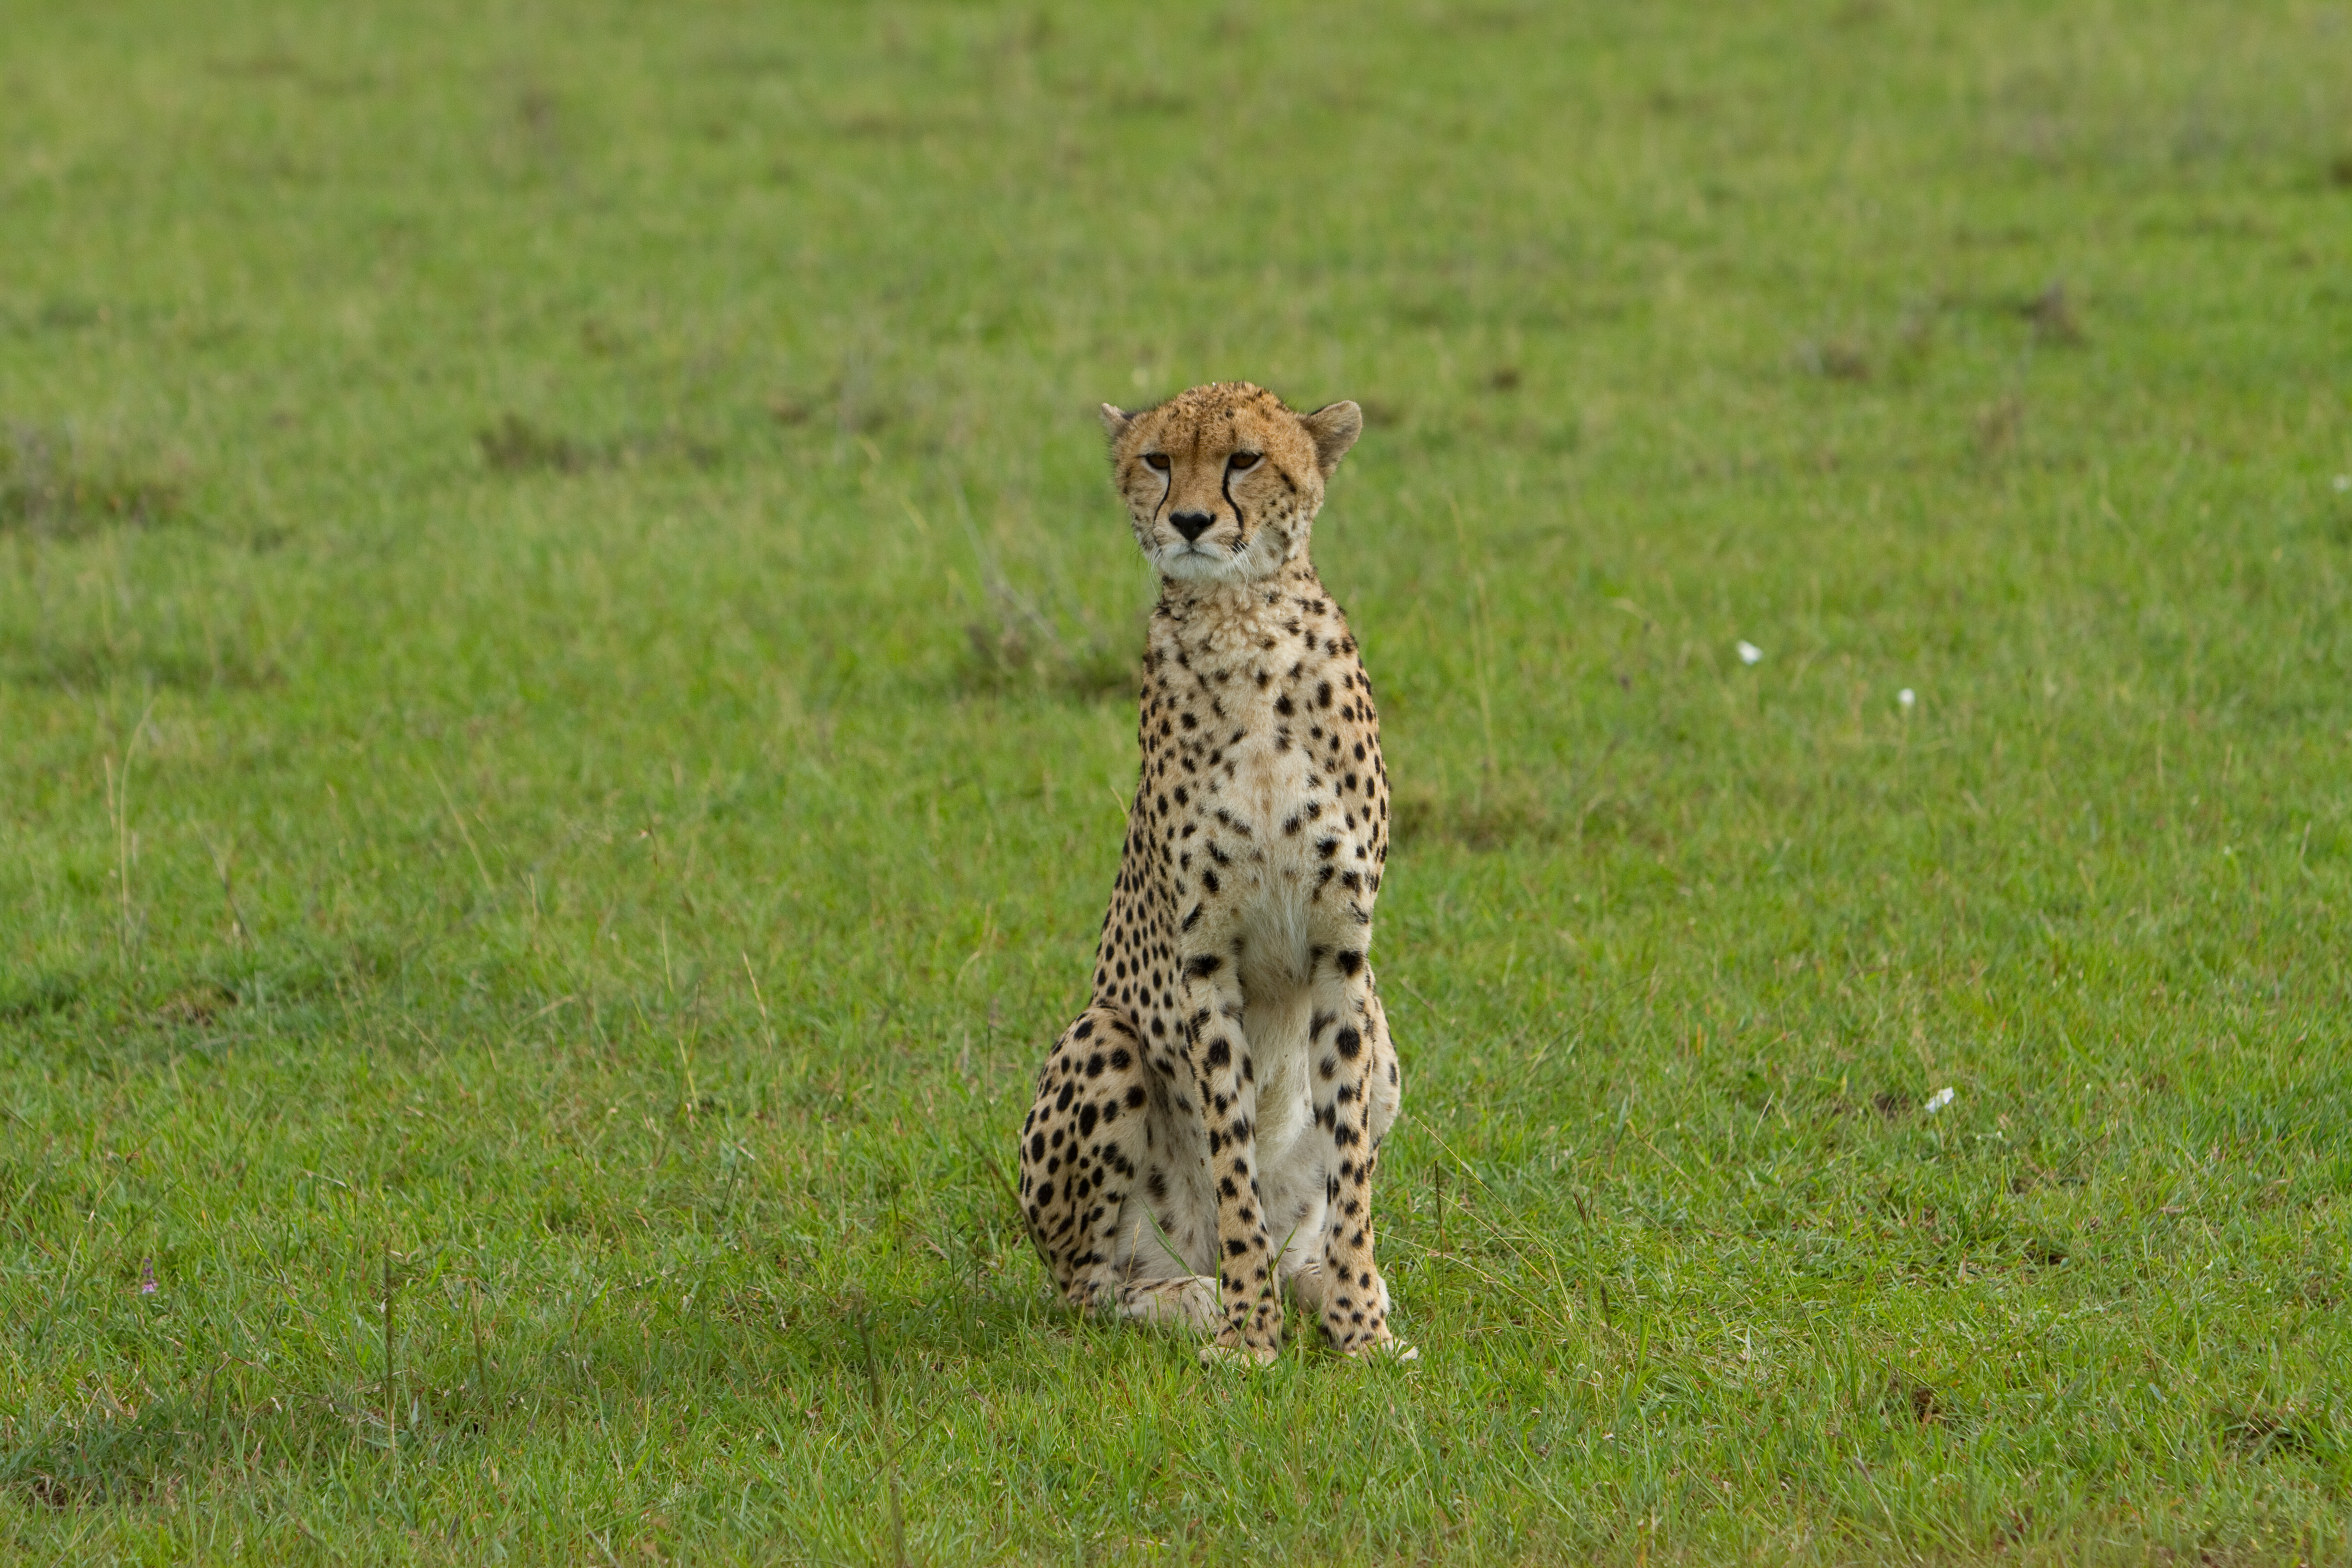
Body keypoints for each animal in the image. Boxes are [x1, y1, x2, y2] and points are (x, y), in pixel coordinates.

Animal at [1015, 380, 1411, 1366]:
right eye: (1158, 460)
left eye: (1244, 459)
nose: (1191, 520)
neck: (1244, 624)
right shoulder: (1204, 963)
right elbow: (1232, 1161)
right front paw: (1246, 1337)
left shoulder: (1342, 956)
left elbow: (1350, 1172)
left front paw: (1358, 1328)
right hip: (1102, 1036)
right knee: (1091, 1287)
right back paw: (1193, 1296)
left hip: (1387, 1033)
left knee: (1309, 1221)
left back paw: (1315, 1285)